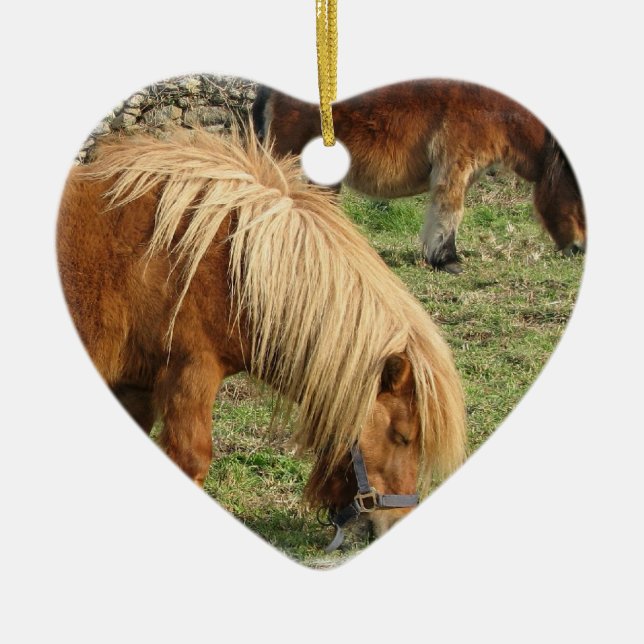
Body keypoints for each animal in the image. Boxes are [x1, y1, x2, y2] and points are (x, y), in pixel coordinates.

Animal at [253, 79, 586, 273]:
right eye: (577, 198)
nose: (580, 249)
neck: (496, 115)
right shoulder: (454, 169)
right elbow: (450, 213)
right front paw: (448, 260)